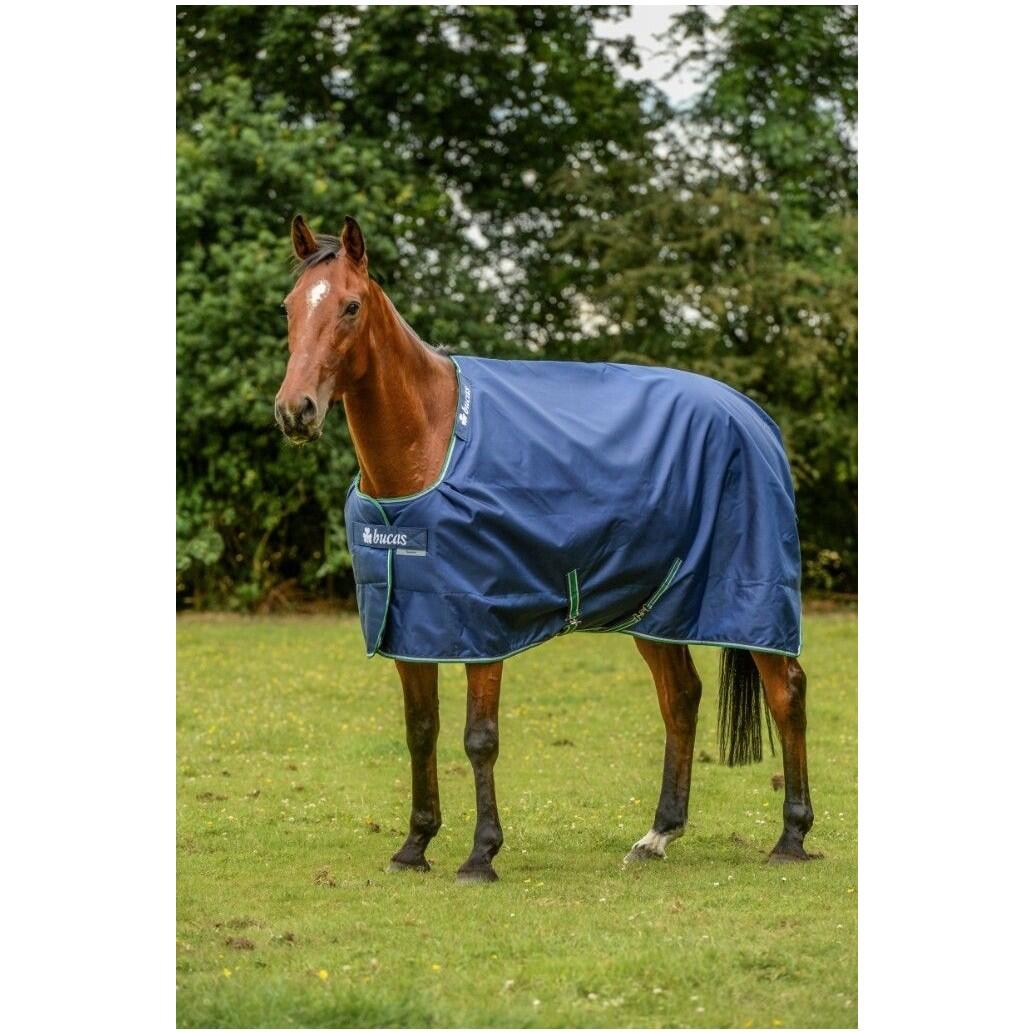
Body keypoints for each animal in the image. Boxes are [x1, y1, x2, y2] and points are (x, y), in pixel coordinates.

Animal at [274, 214, 816, 882]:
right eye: (289, 307)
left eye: (351, 306)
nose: (294, 410)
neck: (431, 442)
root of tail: (755, 417)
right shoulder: (410, 621)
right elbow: (420, 730)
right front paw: (415, 845)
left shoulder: (482, 624)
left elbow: (479, 738)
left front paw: (481, 854)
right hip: (656, 605)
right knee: (681, 698)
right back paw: (658, 835)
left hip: (752, 598)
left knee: (786, 691)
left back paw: (791, 837)